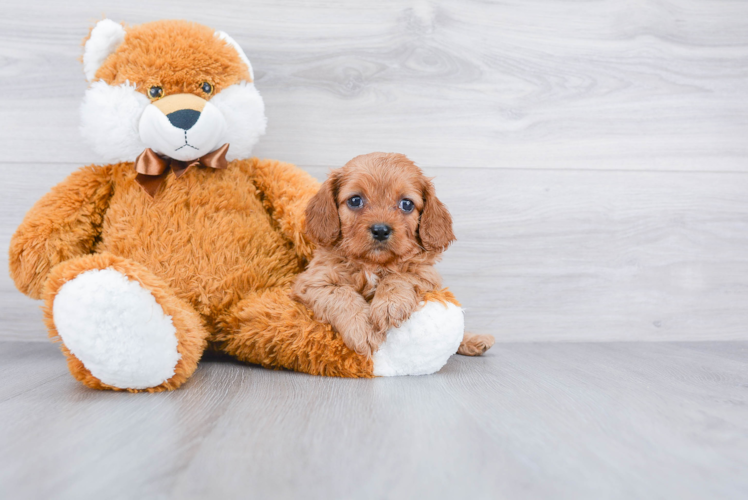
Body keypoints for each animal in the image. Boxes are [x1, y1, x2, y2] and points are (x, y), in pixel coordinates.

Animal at [294, 154, 496, 358]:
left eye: (406, 204)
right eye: (355, 200)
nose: (380, 230)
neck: (373, 264)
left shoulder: (425, 274)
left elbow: (400, 277)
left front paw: (388, 305)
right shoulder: (313, 281)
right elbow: (341, 295)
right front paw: (363, 330)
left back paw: (474, 340)